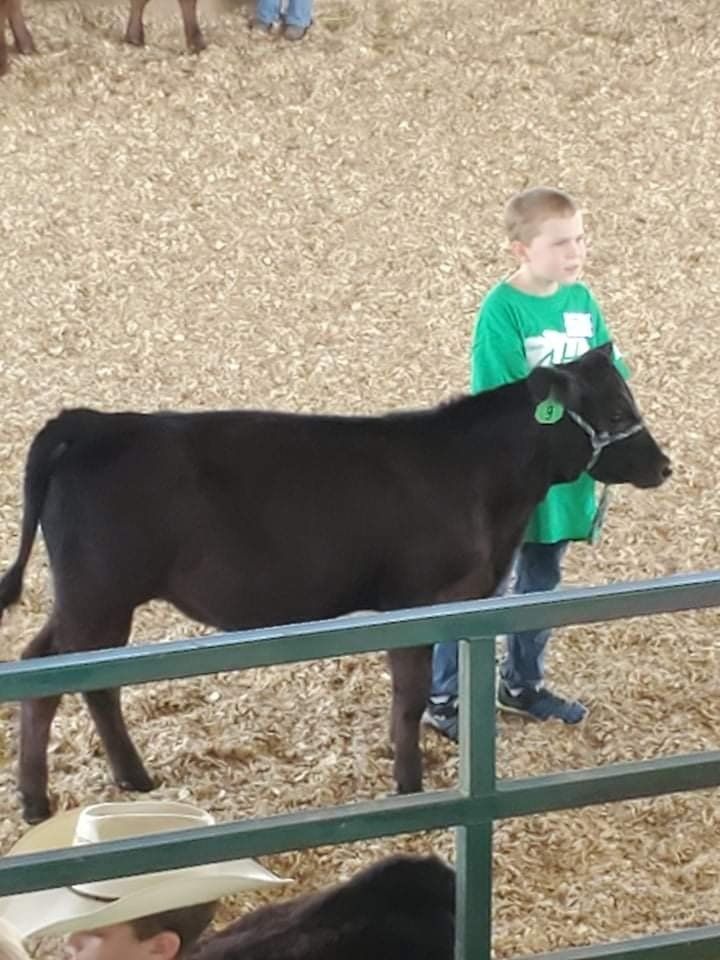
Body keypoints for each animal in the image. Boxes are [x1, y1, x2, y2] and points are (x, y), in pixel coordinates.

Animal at [0, 343, 671, 823]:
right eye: (616, 411)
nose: (664, 465)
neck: (487, 487)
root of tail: (93, 423)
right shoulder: (417, 601)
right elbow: (408, 699)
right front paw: (409, 785)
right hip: (99, 596)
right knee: (52, 680)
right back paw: (37, 803)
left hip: (90, 599)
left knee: (67, 672)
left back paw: (128, 779)